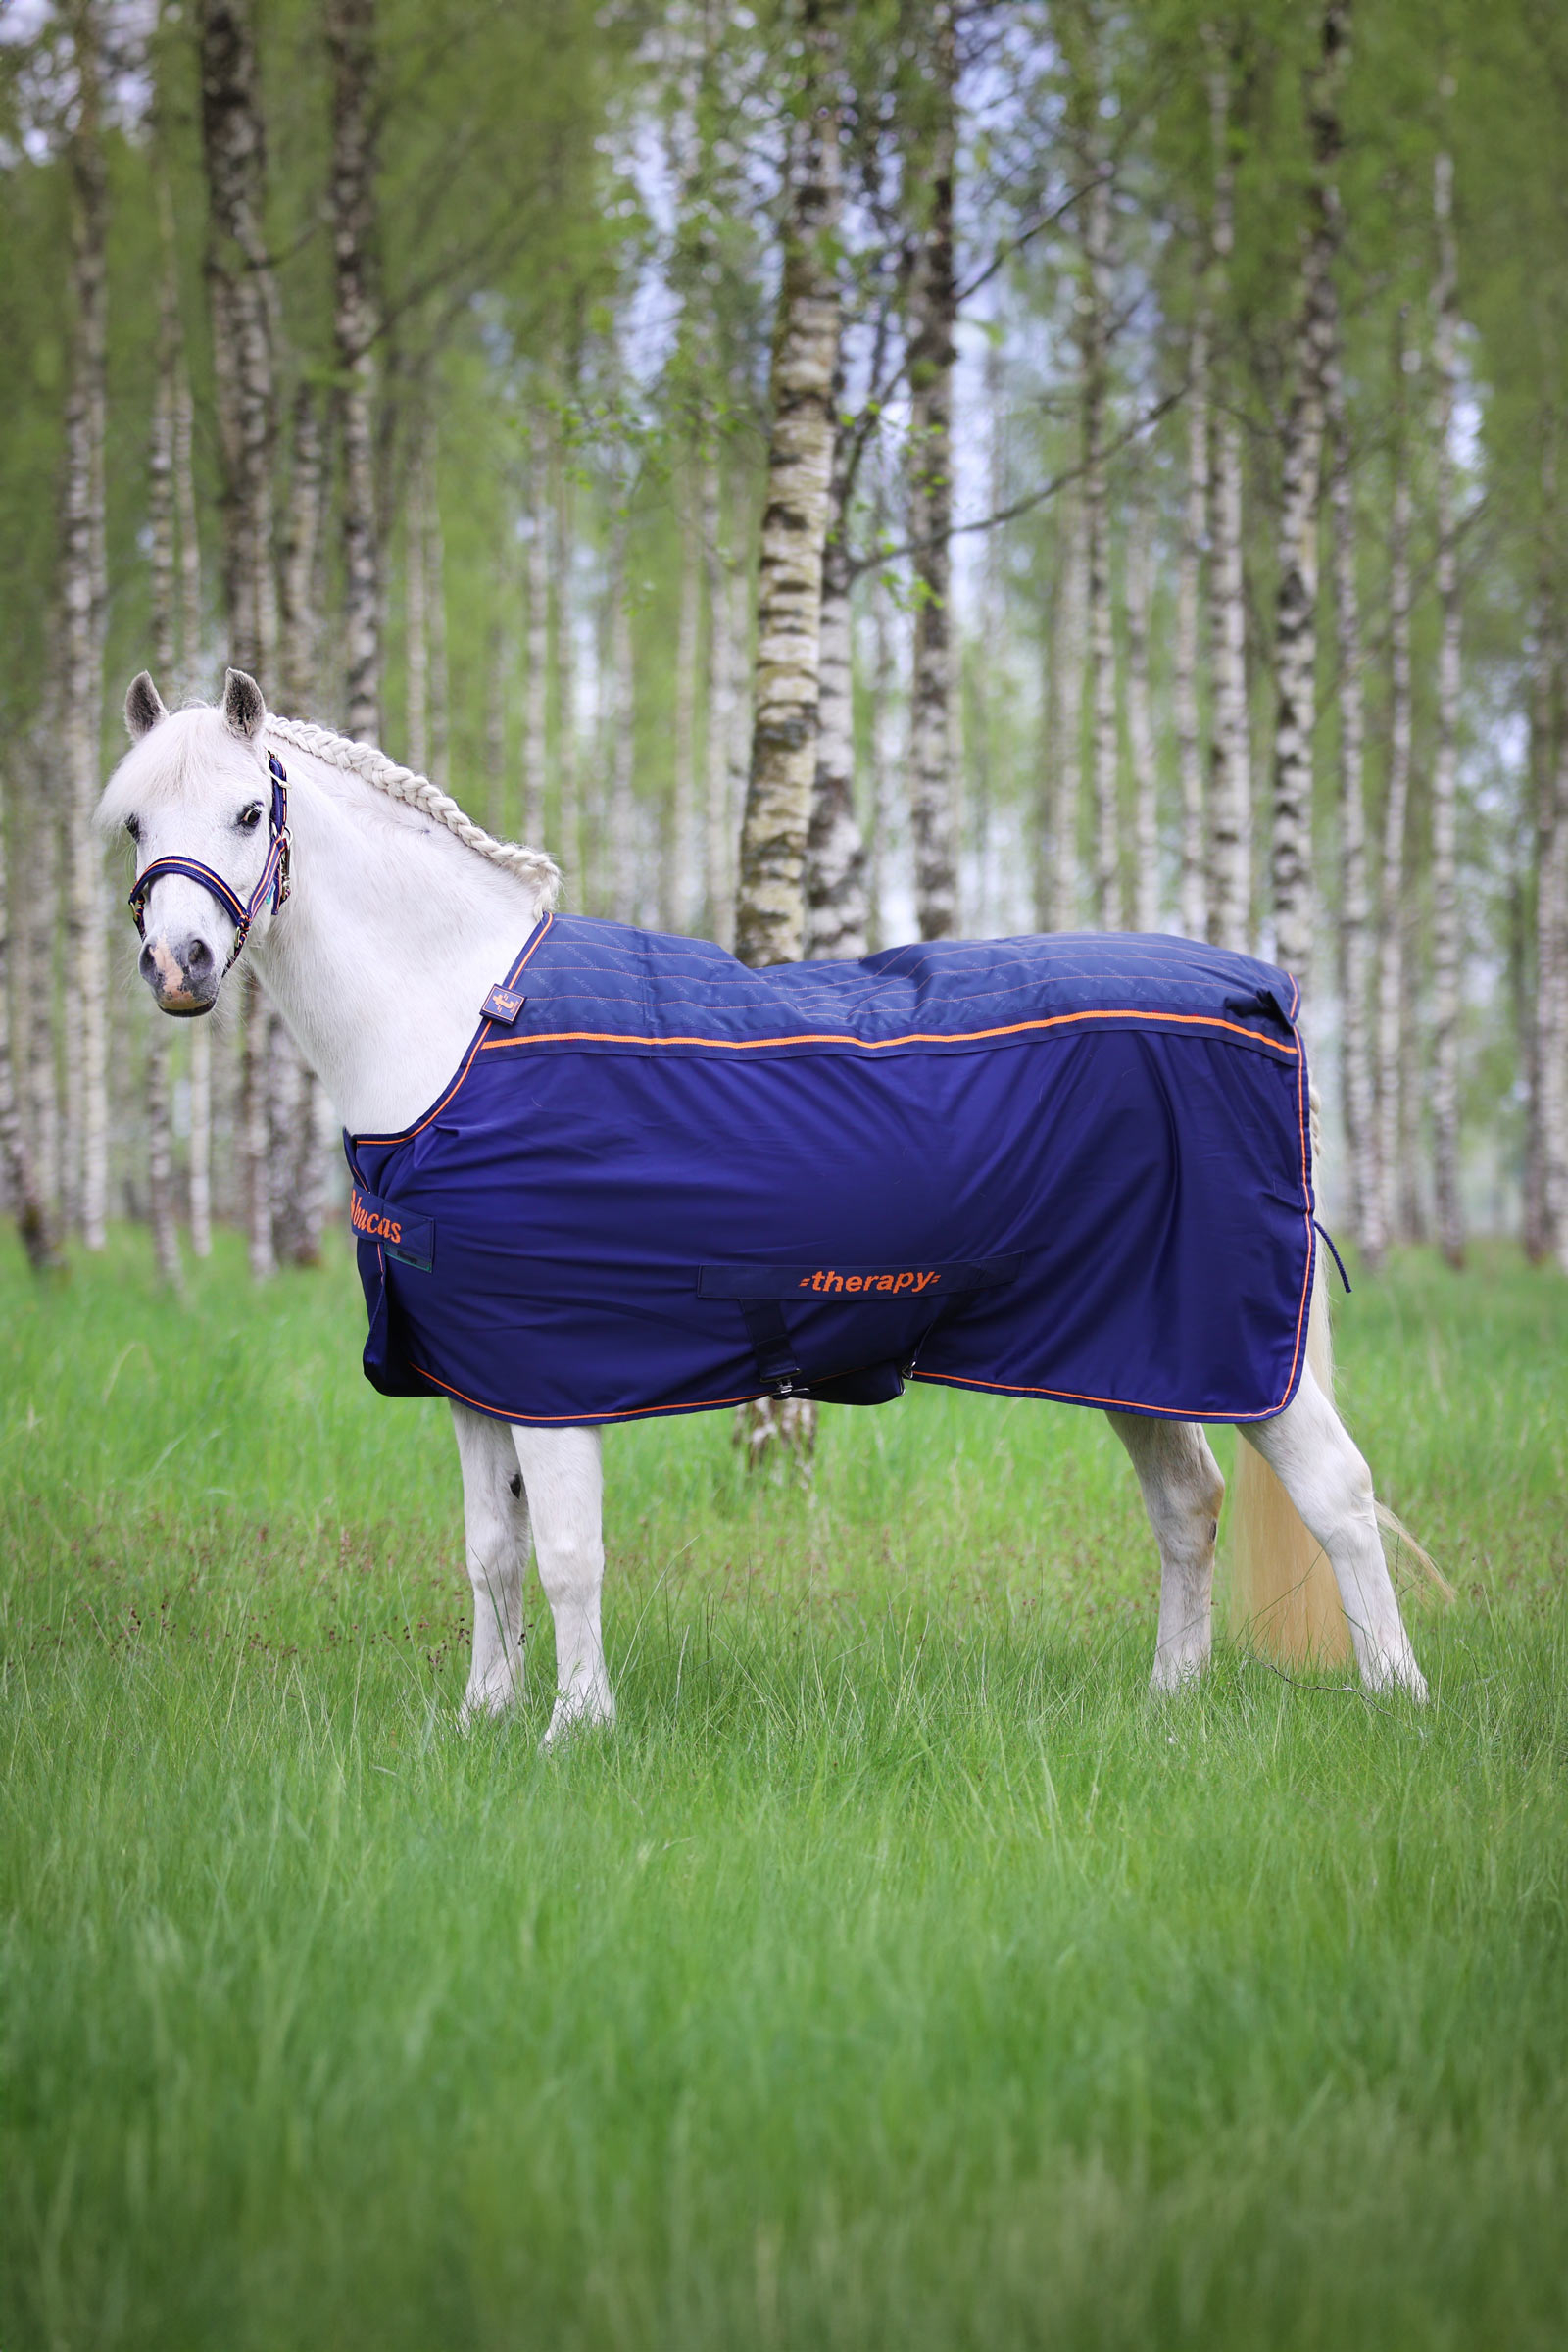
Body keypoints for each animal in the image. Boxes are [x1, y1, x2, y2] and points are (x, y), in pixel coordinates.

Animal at [98, 666, 1431, 1743]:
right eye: (134, 823)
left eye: (250, 812)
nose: (179, 967)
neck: (459, 1025)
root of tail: (1263, 991)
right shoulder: (469, 1367)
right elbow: (490, 1553)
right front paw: (483, 1717)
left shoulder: (550, 1366)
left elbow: (569, 1554)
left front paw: (575, 1730)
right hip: (1128, 1343)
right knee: (1185, 1502)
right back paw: (1170, 1701)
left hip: (1242, 1346)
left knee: (1338, 1494)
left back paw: (1397, 1700)